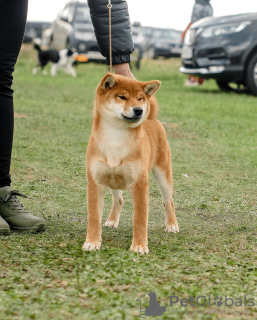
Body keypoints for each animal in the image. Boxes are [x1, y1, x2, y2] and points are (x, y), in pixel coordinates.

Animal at [82, 73, 178, 255]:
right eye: (122, 97)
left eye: (140, 98)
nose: (139, 110)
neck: (115, 138)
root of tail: (152, 119)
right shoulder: (95, 183)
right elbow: (93, 217)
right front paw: (92, 242)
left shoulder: (140, 184)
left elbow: (140, 219)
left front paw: (139, 245)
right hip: (113, 180)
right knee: (119, 200)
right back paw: (112, 220)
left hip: (163, 175)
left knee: (168, 200)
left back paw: (172, 224)